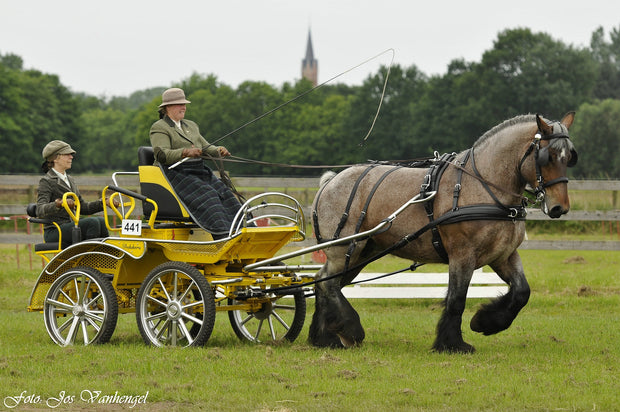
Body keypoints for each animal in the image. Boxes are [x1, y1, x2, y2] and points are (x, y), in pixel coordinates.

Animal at [308, 111, 576, 352]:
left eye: (569, 157)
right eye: (548, 156)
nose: (559, 207)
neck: (482, 186)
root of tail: (331, 181)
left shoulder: (503, 255)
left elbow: (522, 292)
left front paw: (485, 323)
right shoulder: (462, 254)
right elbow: (456, 299)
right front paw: (452, 344)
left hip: (362, 253)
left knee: (326, 284)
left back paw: (325, 338)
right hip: (344, 248)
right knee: (325, 283)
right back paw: (349, 330)